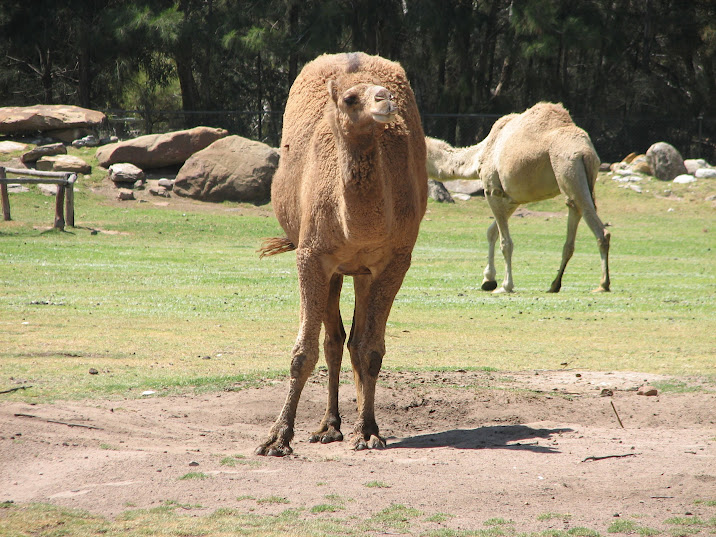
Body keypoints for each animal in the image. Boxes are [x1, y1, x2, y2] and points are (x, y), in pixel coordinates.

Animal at [255, 52, 427, 456]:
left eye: (385, 92)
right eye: (350, 99)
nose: (385, 100)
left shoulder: (394, 261)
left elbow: (371, 349)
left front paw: (368, 431)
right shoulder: (312, 256)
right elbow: (303, 353)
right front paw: (276, 438)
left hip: (360, 272)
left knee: (354, 341)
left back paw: (350, 424)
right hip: (332, 268)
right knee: (333, 341)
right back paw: (328, 425)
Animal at [426, 102, 610, 294]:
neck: (482, 153)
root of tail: (586, 152)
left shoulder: (491, 189)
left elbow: (505, 242)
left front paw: (505, 286)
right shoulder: (512, 199)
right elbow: (492, 232)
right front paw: (488, 280)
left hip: (568, 167)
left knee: (597, 226)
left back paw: (602, 284)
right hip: (580, 178)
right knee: (573, 215)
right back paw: (554, 284)